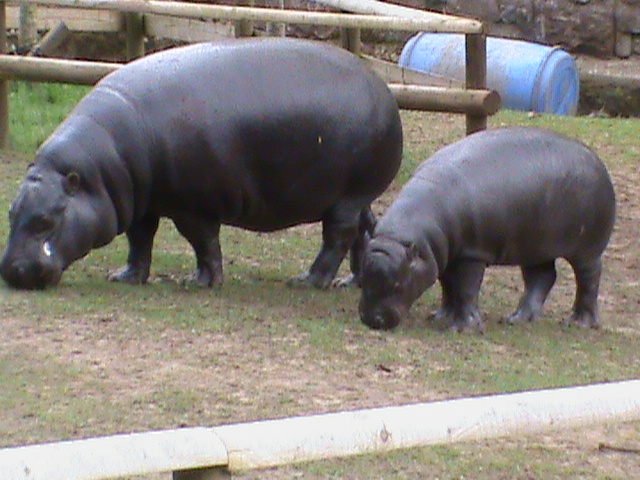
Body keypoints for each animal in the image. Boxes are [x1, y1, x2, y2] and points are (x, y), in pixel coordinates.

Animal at [0, 38, 403, 290]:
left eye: (46, 220)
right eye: (11, 211)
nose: (10, 271)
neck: (97, 171)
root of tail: (383, 89)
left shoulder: (192, 206)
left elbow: (203, 242)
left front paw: (200, 283)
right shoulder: (142, 202)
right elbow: (139, 240)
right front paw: (125, 276)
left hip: (346, 198)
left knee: (339, 237)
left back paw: (308, 281)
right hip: (356, 196)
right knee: (365, 229)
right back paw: (352, 282)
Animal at [359, 127, 615, 332]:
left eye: (398, 285)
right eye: (362, 277)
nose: (373, 320)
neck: (400, 236)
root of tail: (597, 161)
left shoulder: (472, 253)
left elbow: (465, 289)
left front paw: (462, 328)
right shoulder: (444, 254)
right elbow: (448, 286)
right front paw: (440, 317)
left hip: (587, 249)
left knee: (589, 278)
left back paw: (579, 323)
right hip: (535, 246)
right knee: (542, 277)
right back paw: (518, 318)